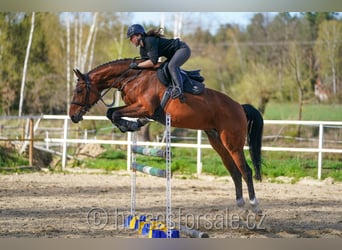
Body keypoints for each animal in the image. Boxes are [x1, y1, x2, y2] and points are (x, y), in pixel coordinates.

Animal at [68, 57, 264, 216]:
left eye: (79, 90)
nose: (72, 116)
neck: (133, 77)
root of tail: (239, 106)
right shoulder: (136, 107)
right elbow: (112, 113)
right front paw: (132, 125)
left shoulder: (144, 107)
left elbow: (113, 113)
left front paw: (130, 125)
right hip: (217, 142)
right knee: (234, 171)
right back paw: (241, 205)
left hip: (232, 144)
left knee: (246, 171)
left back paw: (254, 206)